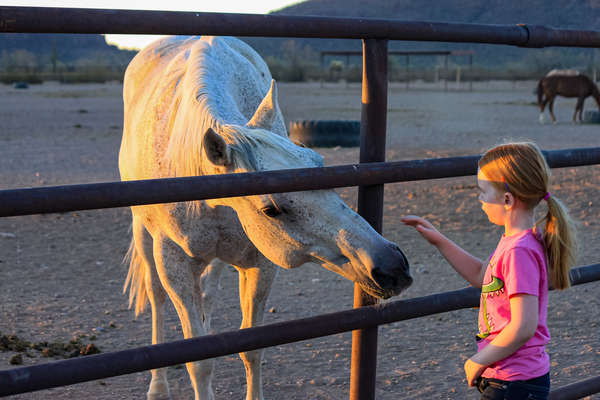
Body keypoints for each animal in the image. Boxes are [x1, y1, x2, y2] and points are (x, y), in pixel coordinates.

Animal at [119, 35, 410, 400]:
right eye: (271, 209)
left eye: (318, 164)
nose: (392, 266)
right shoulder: (174, 263)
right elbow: (198, 360)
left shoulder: (260, 264)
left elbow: (251, 346)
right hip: (143, 234)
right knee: (156, 297)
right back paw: (158, 387)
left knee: (207, 294)